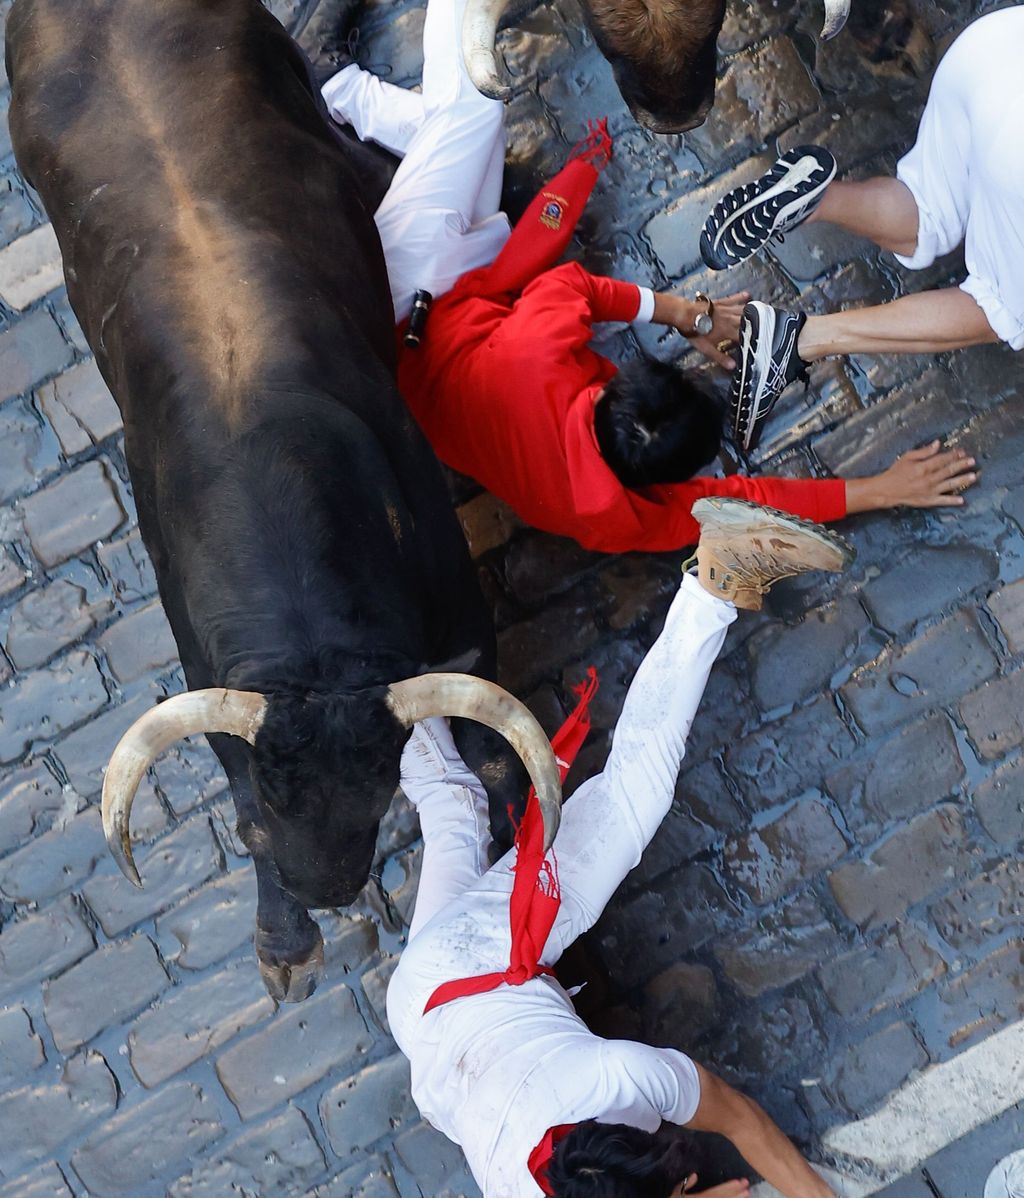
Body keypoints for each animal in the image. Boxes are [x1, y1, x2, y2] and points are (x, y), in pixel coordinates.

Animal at [5, 0, 536, 1001]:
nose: (327, 892)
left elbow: (490, 745)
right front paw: (284, 942)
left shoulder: (458, 608)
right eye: (260, 826)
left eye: (380, 792)